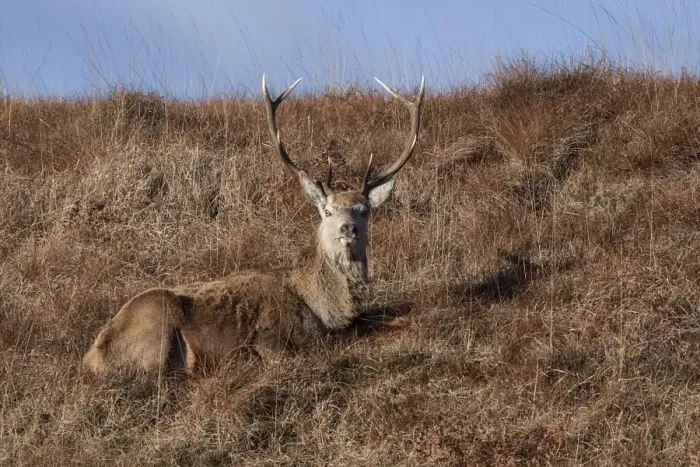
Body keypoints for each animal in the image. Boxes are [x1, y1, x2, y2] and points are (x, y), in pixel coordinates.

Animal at [83, 75, 425, 375]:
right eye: (327, 212)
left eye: (364, 211)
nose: (348, 229)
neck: (323, 310)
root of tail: (92, 357)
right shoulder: (270, 339)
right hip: (156, 317)